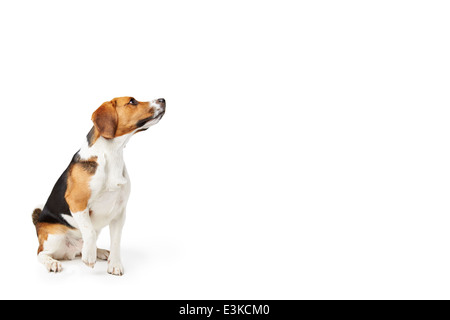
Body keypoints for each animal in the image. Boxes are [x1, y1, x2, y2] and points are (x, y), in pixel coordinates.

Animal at [31, 97, 165, 276]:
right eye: (132, 101)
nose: (163, 99)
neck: (112, 154)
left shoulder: (119, 212)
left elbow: (115, 241)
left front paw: (114, 264)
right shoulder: (77, 202)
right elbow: (89, 230)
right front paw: (89, 255)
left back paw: (99, 251)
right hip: (54, 236)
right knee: (41, 253)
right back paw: (53, 262)